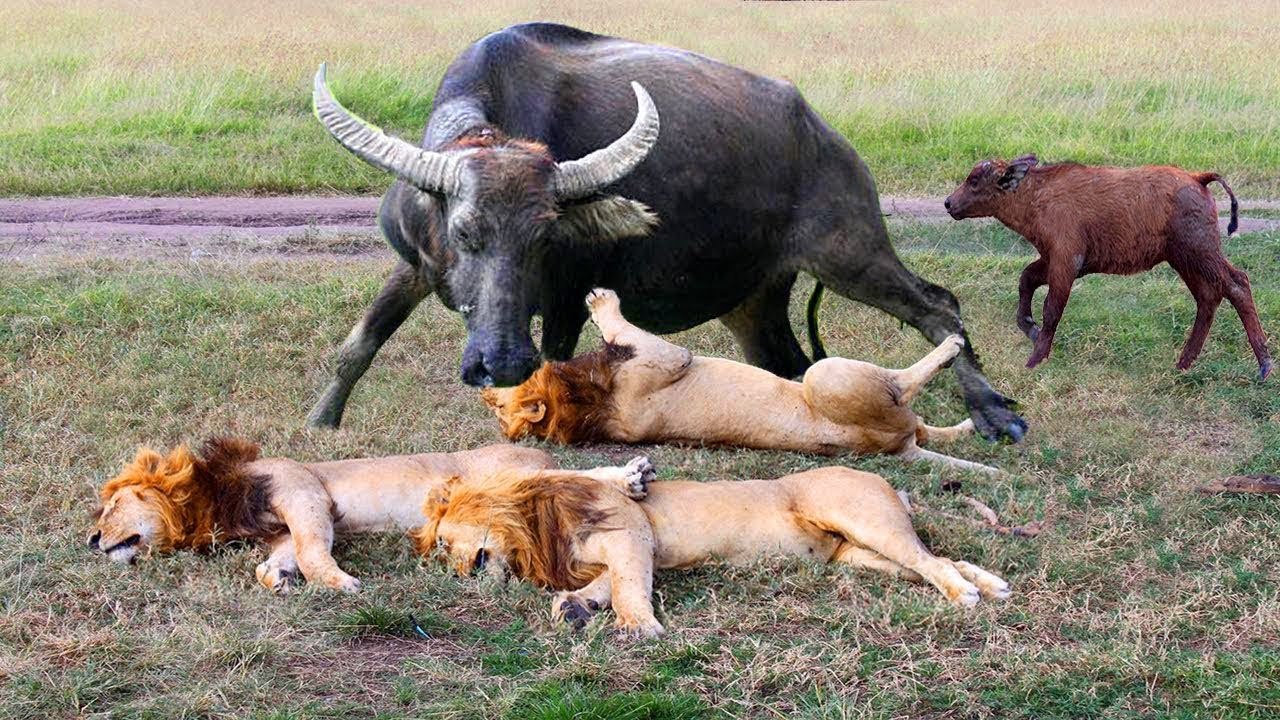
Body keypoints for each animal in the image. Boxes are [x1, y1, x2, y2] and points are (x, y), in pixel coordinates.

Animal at [89, 436, 555, 593]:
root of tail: (544, 454)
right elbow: (279, 559)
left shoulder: (304, 491)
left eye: (112, 507)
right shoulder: (281, 533)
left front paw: (342, 584)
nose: (91, 541)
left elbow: (313, 551)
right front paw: (278, 578)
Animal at [414, 458, 1011, 637]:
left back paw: (965, 595)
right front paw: (577, 607)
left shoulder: (632, 531)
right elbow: (604, 583)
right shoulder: (632, 546)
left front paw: (638, 627)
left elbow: (627, 585)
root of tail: (883, 480)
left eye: (443, 543)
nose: (462, 575)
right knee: (935, 560)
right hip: (857, 554)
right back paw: (989, 585)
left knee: (930, 560)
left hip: (861, 516)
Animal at [481, 289, 997, 474]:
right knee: (906, 386)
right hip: (827, 376)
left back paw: (971, 425)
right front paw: (601, 301)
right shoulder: (668, 356)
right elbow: (618, 324)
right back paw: (951, 345)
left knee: (925, 425)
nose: (485, 385)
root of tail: (896, 447)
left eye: (496, 406)